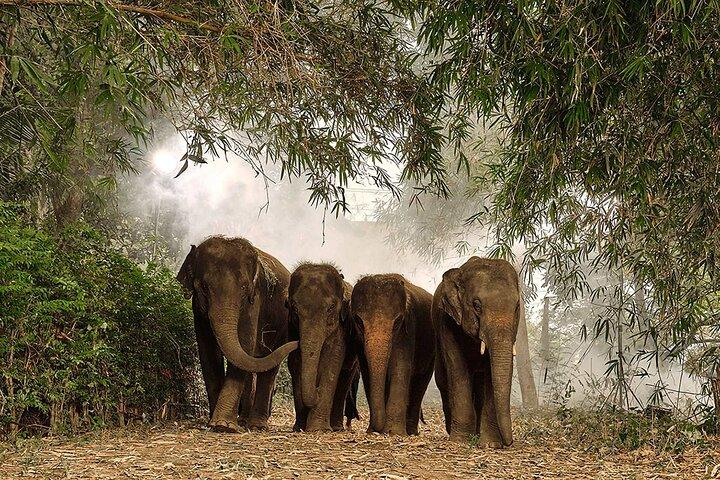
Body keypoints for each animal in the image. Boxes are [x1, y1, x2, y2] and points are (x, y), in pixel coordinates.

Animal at [176, 236, 298, 432]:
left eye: (243, 288)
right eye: (204, 287)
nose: (297, 343)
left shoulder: (254, 300)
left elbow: (244, 343)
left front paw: (223, 425)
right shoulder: (198, 309)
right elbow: (207, 352)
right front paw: (214, 423)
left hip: (283, 326)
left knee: (269, 366)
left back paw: (256, 425)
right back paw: (244, 420)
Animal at [285, 263, 360, 432]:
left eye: (330, 308)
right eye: (295, 308)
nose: (317, 391)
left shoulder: (341, 329)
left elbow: (332, 363)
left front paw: (318, 429)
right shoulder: (291, 329)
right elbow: (295, 363)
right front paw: (299, 428)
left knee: (344, 378)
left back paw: (336, 427)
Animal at [351, 274, 435, 435]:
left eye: (397, 322)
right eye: (358, 321)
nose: (377, 429)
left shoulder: (408, 331)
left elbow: (399, 368)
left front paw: (393, 432)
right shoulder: (359, 341)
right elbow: (367, 372)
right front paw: (373, 431)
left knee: (420, 383)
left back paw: (411, 432)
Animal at [432, 257, 520, 448]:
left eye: (517, 307)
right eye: (477, 305)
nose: (509, 443)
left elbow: (491, 376)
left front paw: (490, 445)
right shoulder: (447, 323)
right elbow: (458, 370)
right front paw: (460, 442)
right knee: (443, 381)